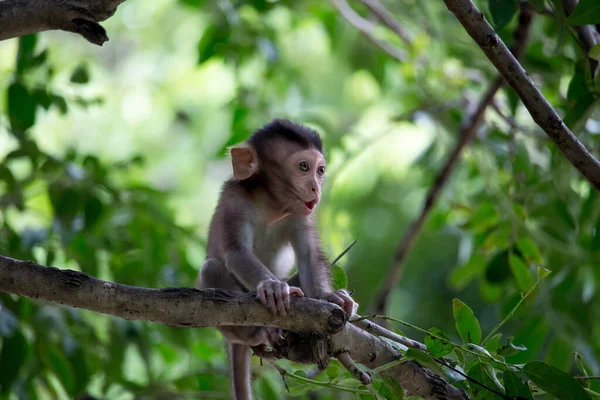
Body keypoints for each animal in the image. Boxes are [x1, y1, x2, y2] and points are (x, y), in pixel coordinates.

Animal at [197, 119, 356, 400]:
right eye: (303, 167)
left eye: (321, 171)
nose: (316, 187)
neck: (271, 206)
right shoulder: (234, 200)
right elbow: (236, 252)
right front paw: (273, 287)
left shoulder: (300, 214)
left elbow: (309, 256)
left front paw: (329, 297)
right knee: (211, 268)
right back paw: (259, 331)